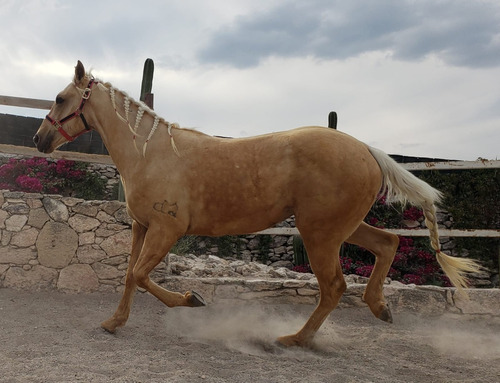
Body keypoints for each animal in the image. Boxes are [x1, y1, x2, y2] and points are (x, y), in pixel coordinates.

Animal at [34, 60, 480, 348]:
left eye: (59, 98)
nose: (39, 140)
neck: (152, 152)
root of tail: (366, 150)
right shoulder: (142, 227)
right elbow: (129, 276)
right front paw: (114, 323)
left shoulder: (166, 229)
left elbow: (142, 277)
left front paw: (192, 300)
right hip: (341, 227)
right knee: (388, 244)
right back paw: (379, 308)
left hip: (319, 234)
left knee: (334, 286)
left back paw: (295, 339)